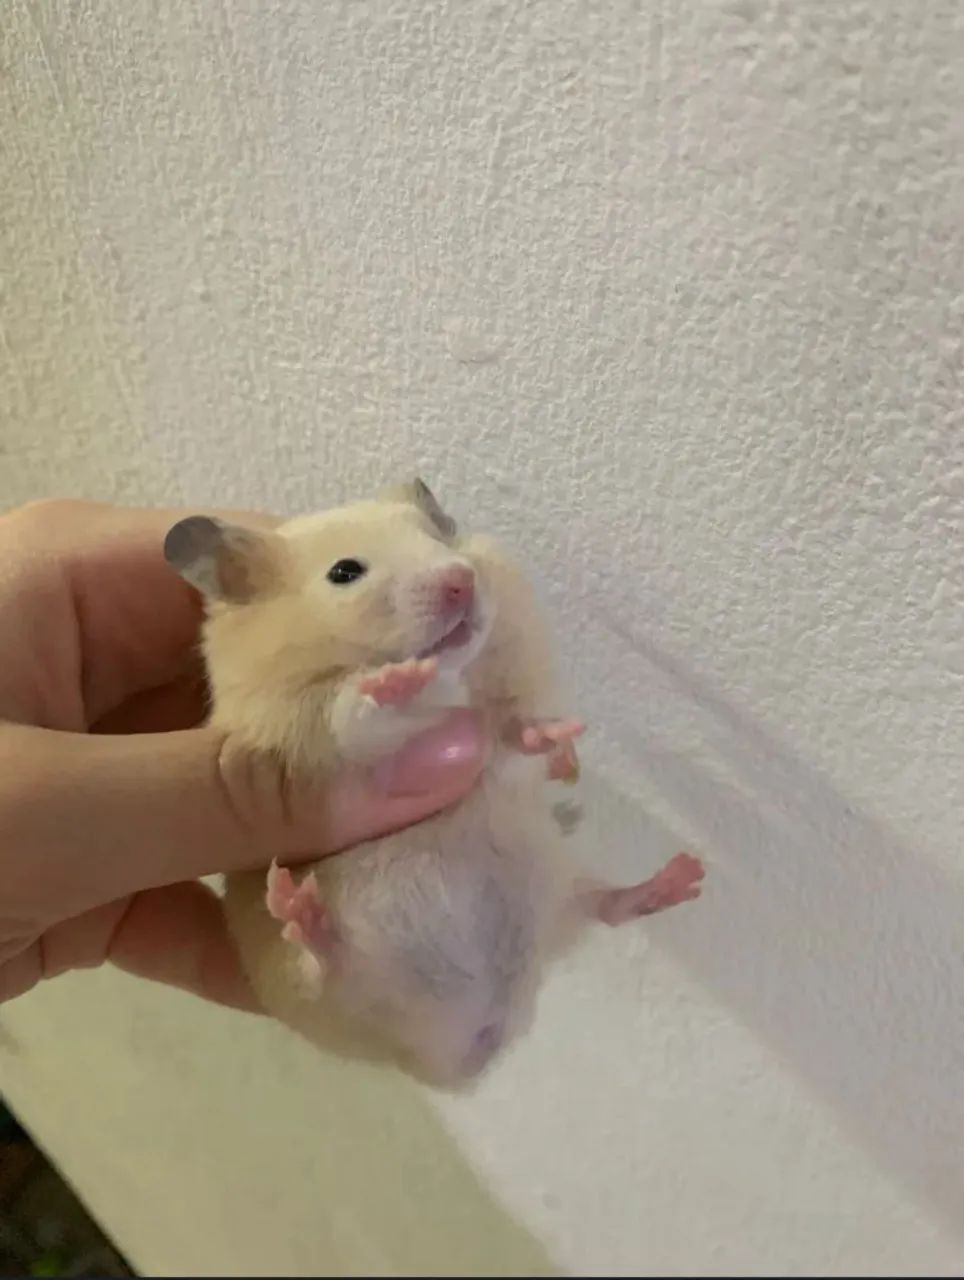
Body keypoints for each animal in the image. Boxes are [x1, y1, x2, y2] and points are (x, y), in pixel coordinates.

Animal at [164, 479, 704, 1089]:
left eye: (440, 537)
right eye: (344, 572)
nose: (461, 579)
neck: (453, 677)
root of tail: (465, 1053)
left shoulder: (499, 715)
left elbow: (513, 731)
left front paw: (561, 741)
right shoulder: (313, 732)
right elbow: (356, 713)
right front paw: (395, 680)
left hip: (555, 886)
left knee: (603, 906)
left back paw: (682, 877)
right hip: (329, 990)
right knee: (327, 965)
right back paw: (301, 910)